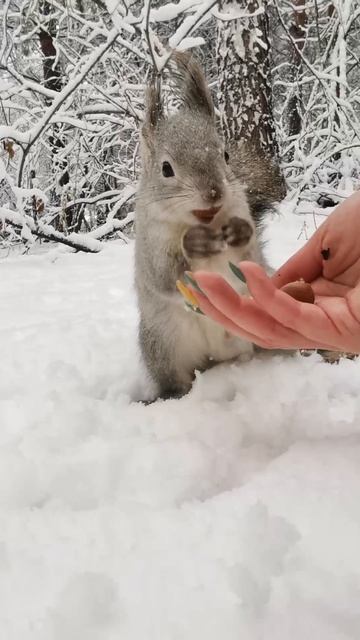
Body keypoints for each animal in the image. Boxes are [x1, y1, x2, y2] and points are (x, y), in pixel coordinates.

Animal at [136, 53, 274, 400]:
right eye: (166, 169)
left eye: (225, 154)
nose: (214, 192)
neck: (206, 222)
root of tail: (216, 359)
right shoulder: (151, 244)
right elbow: (163, 275)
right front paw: (194, 244)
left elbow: (250, 258)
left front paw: (240, 233)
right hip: (163, 346)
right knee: (173, 379)